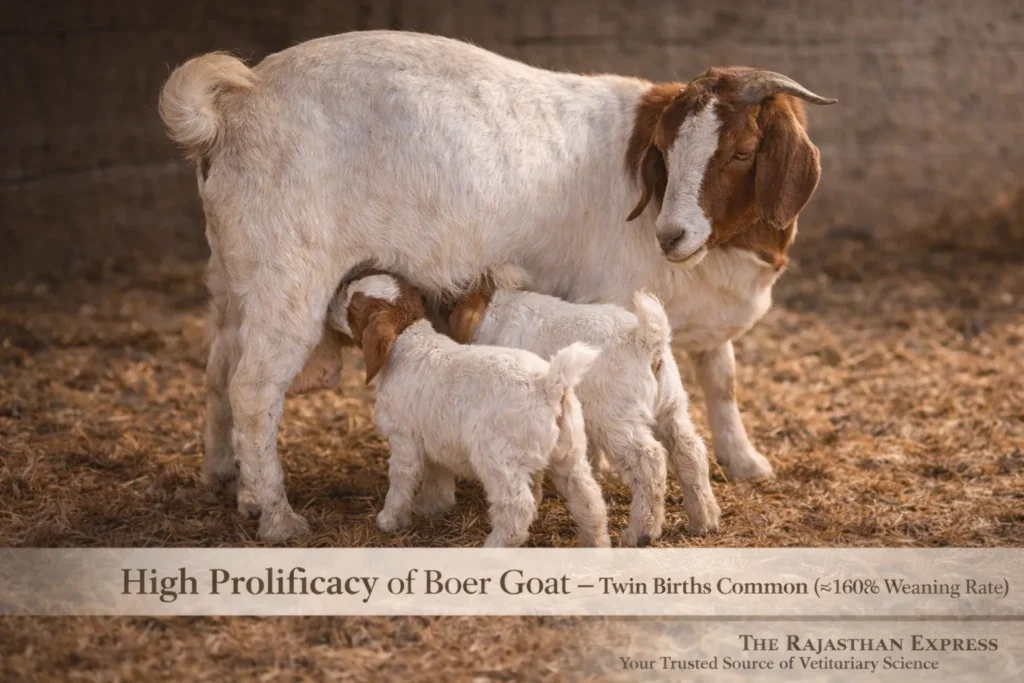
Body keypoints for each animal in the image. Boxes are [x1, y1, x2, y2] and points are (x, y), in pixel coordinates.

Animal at [160, 31, 834, 540]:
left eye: (743, 151)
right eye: (666, 152)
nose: (672, 234)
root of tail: (231, 112)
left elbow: (721, 380)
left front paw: (746, 462)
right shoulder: (620, 296)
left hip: (232, 277)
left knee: (218, 369)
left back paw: (228, 480)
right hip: (287, 277)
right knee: (253, 389)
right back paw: (277, 517)